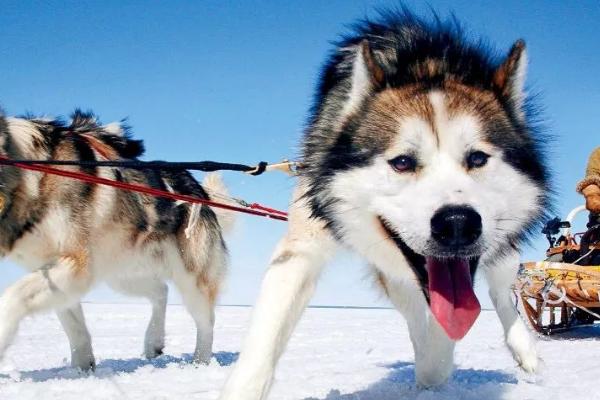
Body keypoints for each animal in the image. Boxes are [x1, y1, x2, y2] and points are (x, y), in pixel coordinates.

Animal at [0, 111, 232, 370]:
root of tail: (199, 189)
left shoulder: (76, 263)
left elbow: (13, 297)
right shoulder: (55, 270)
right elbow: (74, 326)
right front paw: (82, 369)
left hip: (191, 279)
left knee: (206, 321)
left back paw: (200, 362)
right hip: (119, 273)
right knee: (160, 290)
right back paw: (153, 341)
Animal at [219, 10, 548, 400]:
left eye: (478, 158)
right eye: (402, 162)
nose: (457, 223)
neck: (426, 64)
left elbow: (446, 342)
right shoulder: (302, 247)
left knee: (499, 291)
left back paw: (523, 350)